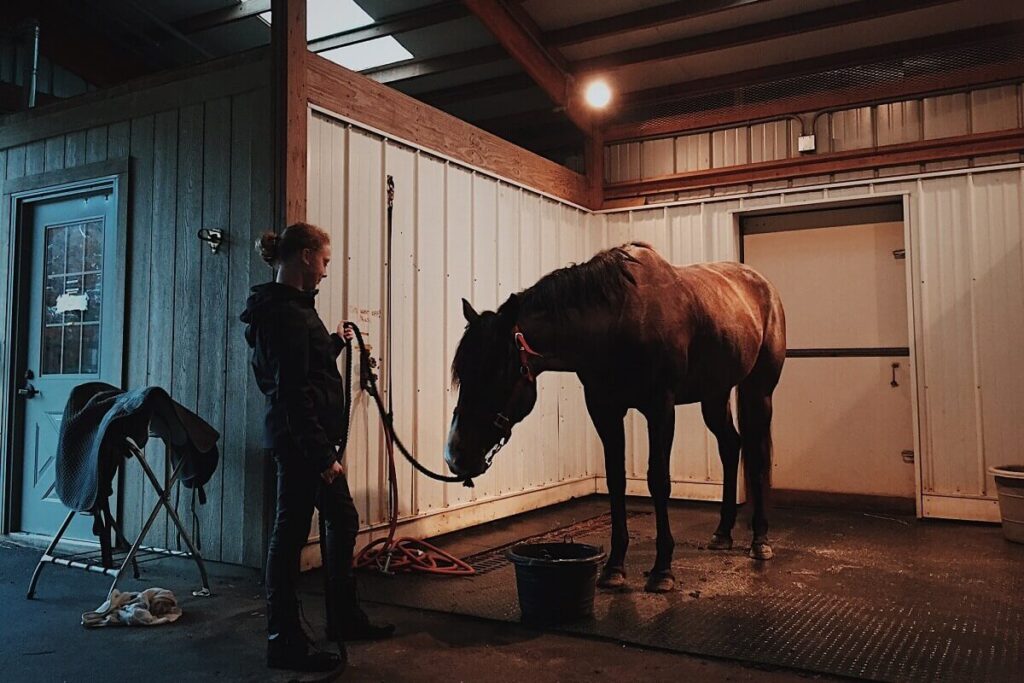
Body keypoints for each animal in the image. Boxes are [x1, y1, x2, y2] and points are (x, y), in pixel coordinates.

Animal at [445, 242, 786, 593]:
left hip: (758, 391)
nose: (455, 455)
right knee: (730, 447)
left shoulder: (660, 408)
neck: (618, 322)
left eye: (498, 372)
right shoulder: (604, 409)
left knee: (758, 456)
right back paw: (723, 533)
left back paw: (760, 540)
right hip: (715, 395)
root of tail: (764, 287)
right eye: (462, 374)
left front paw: (663, 570)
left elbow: (658, 480)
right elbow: (615, 479)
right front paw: (614, 567)